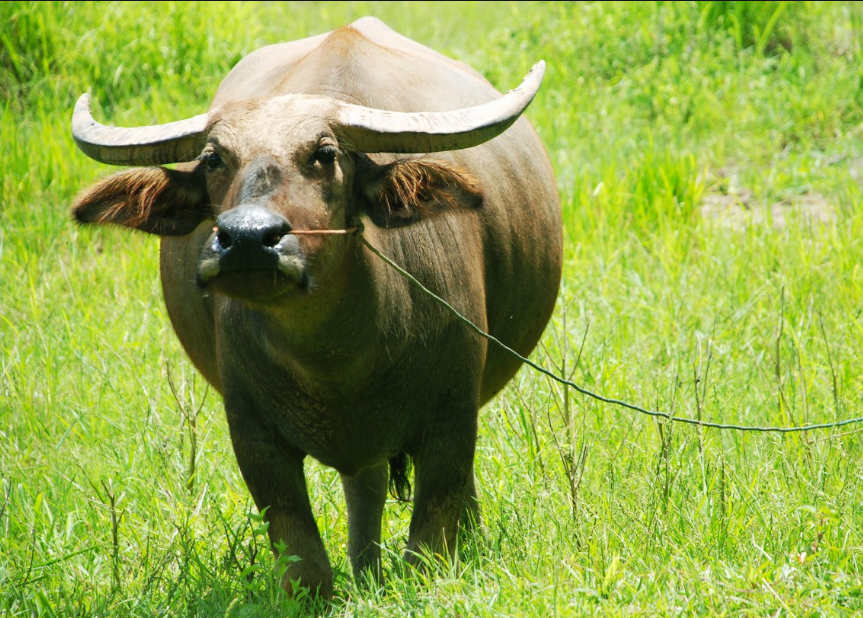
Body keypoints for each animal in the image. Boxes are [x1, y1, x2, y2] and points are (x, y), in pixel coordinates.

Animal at [71, 16, 564, 596]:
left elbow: (430, 542)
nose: (247, 239)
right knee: (365, 489)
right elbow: (303, 561)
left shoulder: (452, 415)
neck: (337, 360)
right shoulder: (252, 434)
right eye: (213, 158)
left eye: (325, 153)